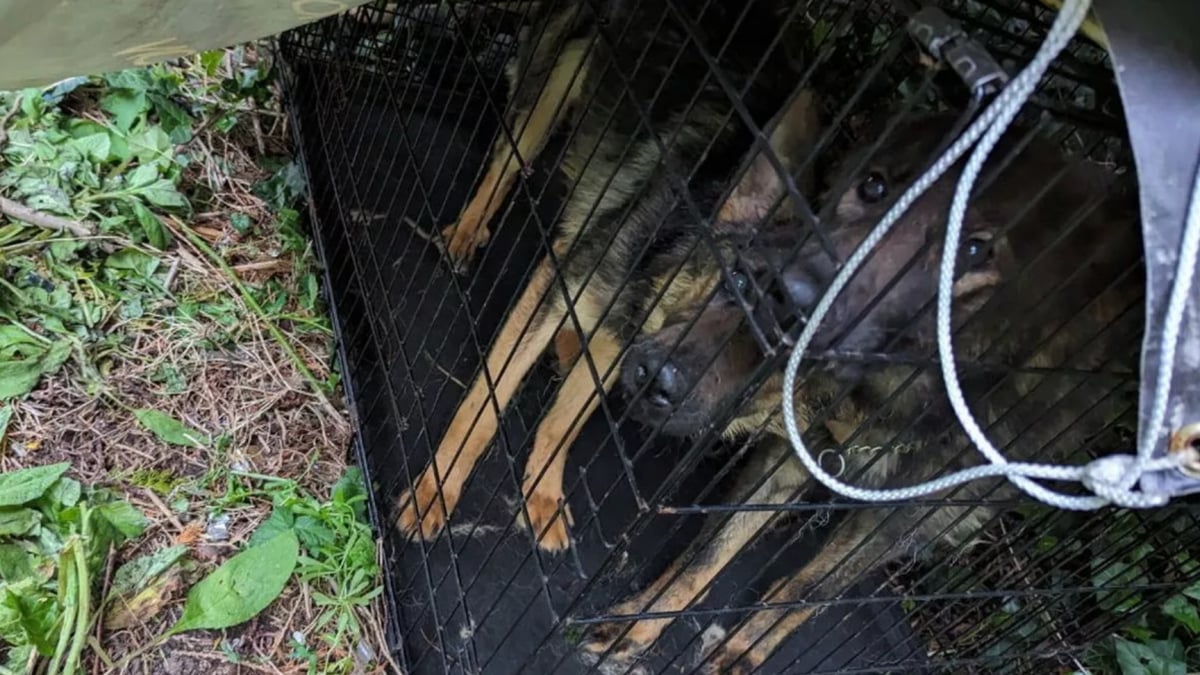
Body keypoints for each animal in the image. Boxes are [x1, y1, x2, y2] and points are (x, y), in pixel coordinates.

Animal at [393, 0, 816, 550]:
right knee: (507, 162)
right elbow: (484, 406)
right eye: (742, 284)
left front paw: (544, 493)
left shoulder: (623, 340)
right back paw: (468, 228)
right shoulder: (563, 288)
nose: (662, 384)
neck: (669, 246)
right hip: (553, 77)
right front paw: (437, 490)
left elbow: (565, 421)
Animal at [580, 112, 1142, 667]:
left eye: (973, 251)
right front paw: (640, 623)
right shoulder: (794, 456)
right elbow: (711, 549)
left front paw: (746, 650)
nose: (789, 290)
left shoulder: (899, 519)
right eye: (874, 186)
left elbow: (808, 590)